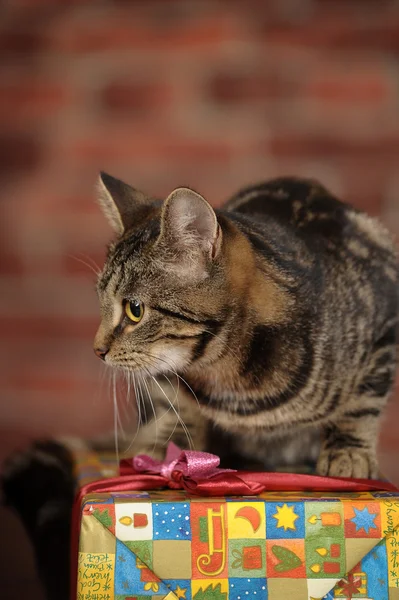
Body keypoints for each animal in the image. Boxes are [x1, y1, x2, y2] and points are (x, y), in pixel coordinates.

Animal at [1, 173, 398, 600]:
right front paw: (167, 456)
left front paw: (349, 452)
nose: (97, 349)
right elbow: (175, 402)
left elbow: (362, 401)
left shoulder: (385, 323)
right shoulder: (161, 375)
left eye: (135, 310)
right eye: (101, 304)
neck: (230, 376)